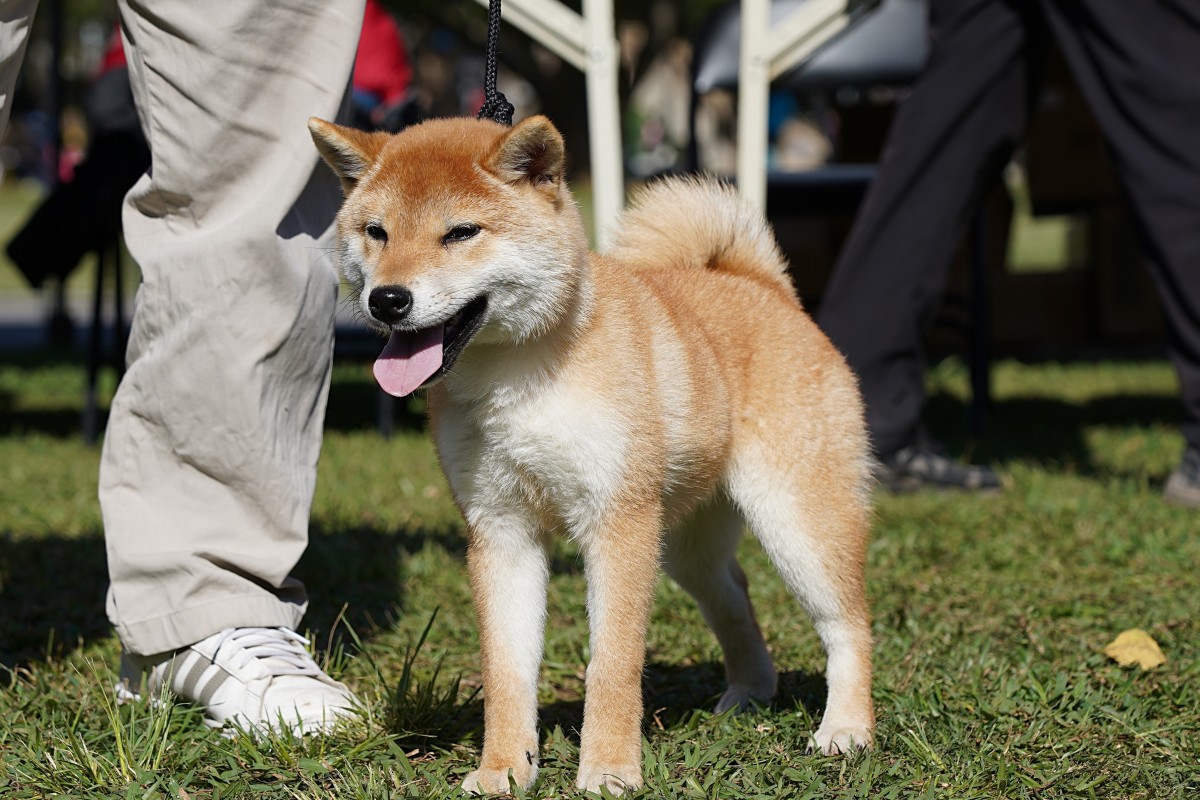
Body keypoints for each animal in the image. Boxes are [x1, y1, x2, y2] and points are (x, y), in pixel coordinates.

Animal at [309, 115, 873, 796]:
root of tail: (762, 286)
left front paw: (608, 768)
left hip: (795, 525)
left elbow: (612, 665)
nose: (387, 300)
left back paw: (846, 729)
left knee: (849, 624)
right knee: (734, 592)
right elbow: (506, 671)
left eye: (461, 232)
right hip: (684, 546)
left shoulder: (617, 524)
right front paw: (503, 769)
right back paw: (749, 692)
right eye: (377, 231)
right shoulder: (501, 530)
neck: (518, 379)